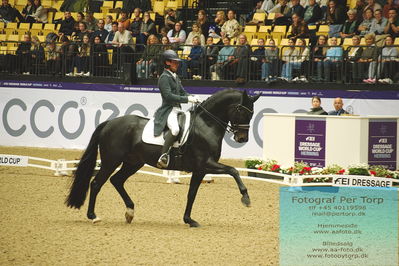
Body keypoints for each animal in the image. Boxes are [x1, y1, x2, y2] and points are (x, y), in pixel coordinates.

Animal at [65, 89, 260, 227]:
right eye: (242, 111)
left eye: (251, 113)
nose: (242, 139)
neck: (206, 125)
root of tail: (109, 123)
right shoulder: (206, 164)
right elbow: (233, 170)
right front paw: (246, 198)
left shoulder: (200, 170)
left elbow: (192, 194)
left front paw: (189, 220)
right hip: (111, 161)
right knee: (97, 183)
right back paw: (94, 216)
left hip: (133, 162)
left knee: (117, 180)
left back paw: (130, 212)